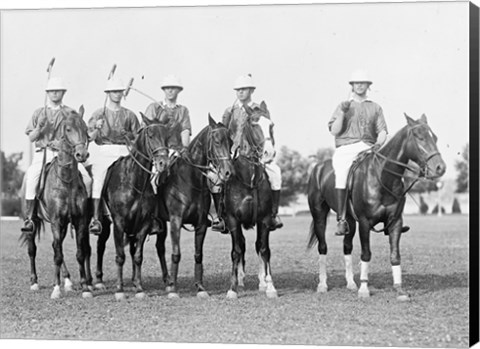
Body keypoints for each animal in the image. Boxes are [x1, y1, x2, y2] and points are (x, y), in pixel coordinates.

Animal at [19, 106, 92, 300]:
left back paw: (67, 281)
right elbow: (57, 255)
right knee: (32, 249)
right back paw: (34, 282)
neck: (66, 182)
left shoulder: (78, 221)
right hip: (32, 221)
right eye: (68, 129)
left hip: (64, 225)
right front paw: (56, 290)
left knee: (56, 247)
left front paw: (85, 288)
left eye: (86, 128)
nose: (82, 154)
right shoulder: (56, 221)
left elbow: (79, 253)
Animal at [93, 115, 170, 300]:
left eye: (167, 135)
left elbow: (137, 256)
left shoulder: (143, 224)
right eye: (150, 135)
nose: (163, 163)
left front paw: (139, 288)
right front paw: (120, 290)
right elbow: (120, 256)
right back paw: (98, 281)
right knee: (100, 246)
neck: (134, 182)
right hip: (105, 223)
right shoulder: (119, 224)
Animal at [157, 115, 233, 298]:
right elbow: (176, 254)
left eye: (231, 142)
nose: (228, 172)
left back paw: (167, 281)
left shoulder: (200, 224)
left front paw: (200, 287)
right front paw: (174, 289)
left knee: (159, 247)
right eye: (217, 141)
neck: (190, 180)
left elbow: (198, 255)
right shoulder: (175, 222)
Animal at [222, 101, 278, 300]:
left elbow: (264, 250)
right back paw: (240, 279)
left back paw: (262, 281)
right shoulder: (233, 220)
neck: (249, 179)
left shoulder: (265, 220)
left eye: (271, 125)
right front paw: (232, 288)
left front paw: (270, 286)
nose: (269, 153)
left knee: (258, 246)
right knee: (242, 246)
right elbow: (236, 251)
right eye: (254, 124)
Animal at [308, 113, 446, 300]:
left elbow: (395, 255)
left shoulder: (395, 222)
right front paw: (364, 289)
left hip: (349, 220)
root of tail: (318, 167)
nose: (440, 167)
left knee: (347, 246)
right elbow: (366, 254)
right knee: (323, 246)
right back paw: (323, 285)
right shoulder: (365, 223)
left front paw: (399, 289)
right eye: (419, 137)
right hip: (319, 215)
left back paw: (351, 283)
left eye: (435, 137)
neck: (383, 177)